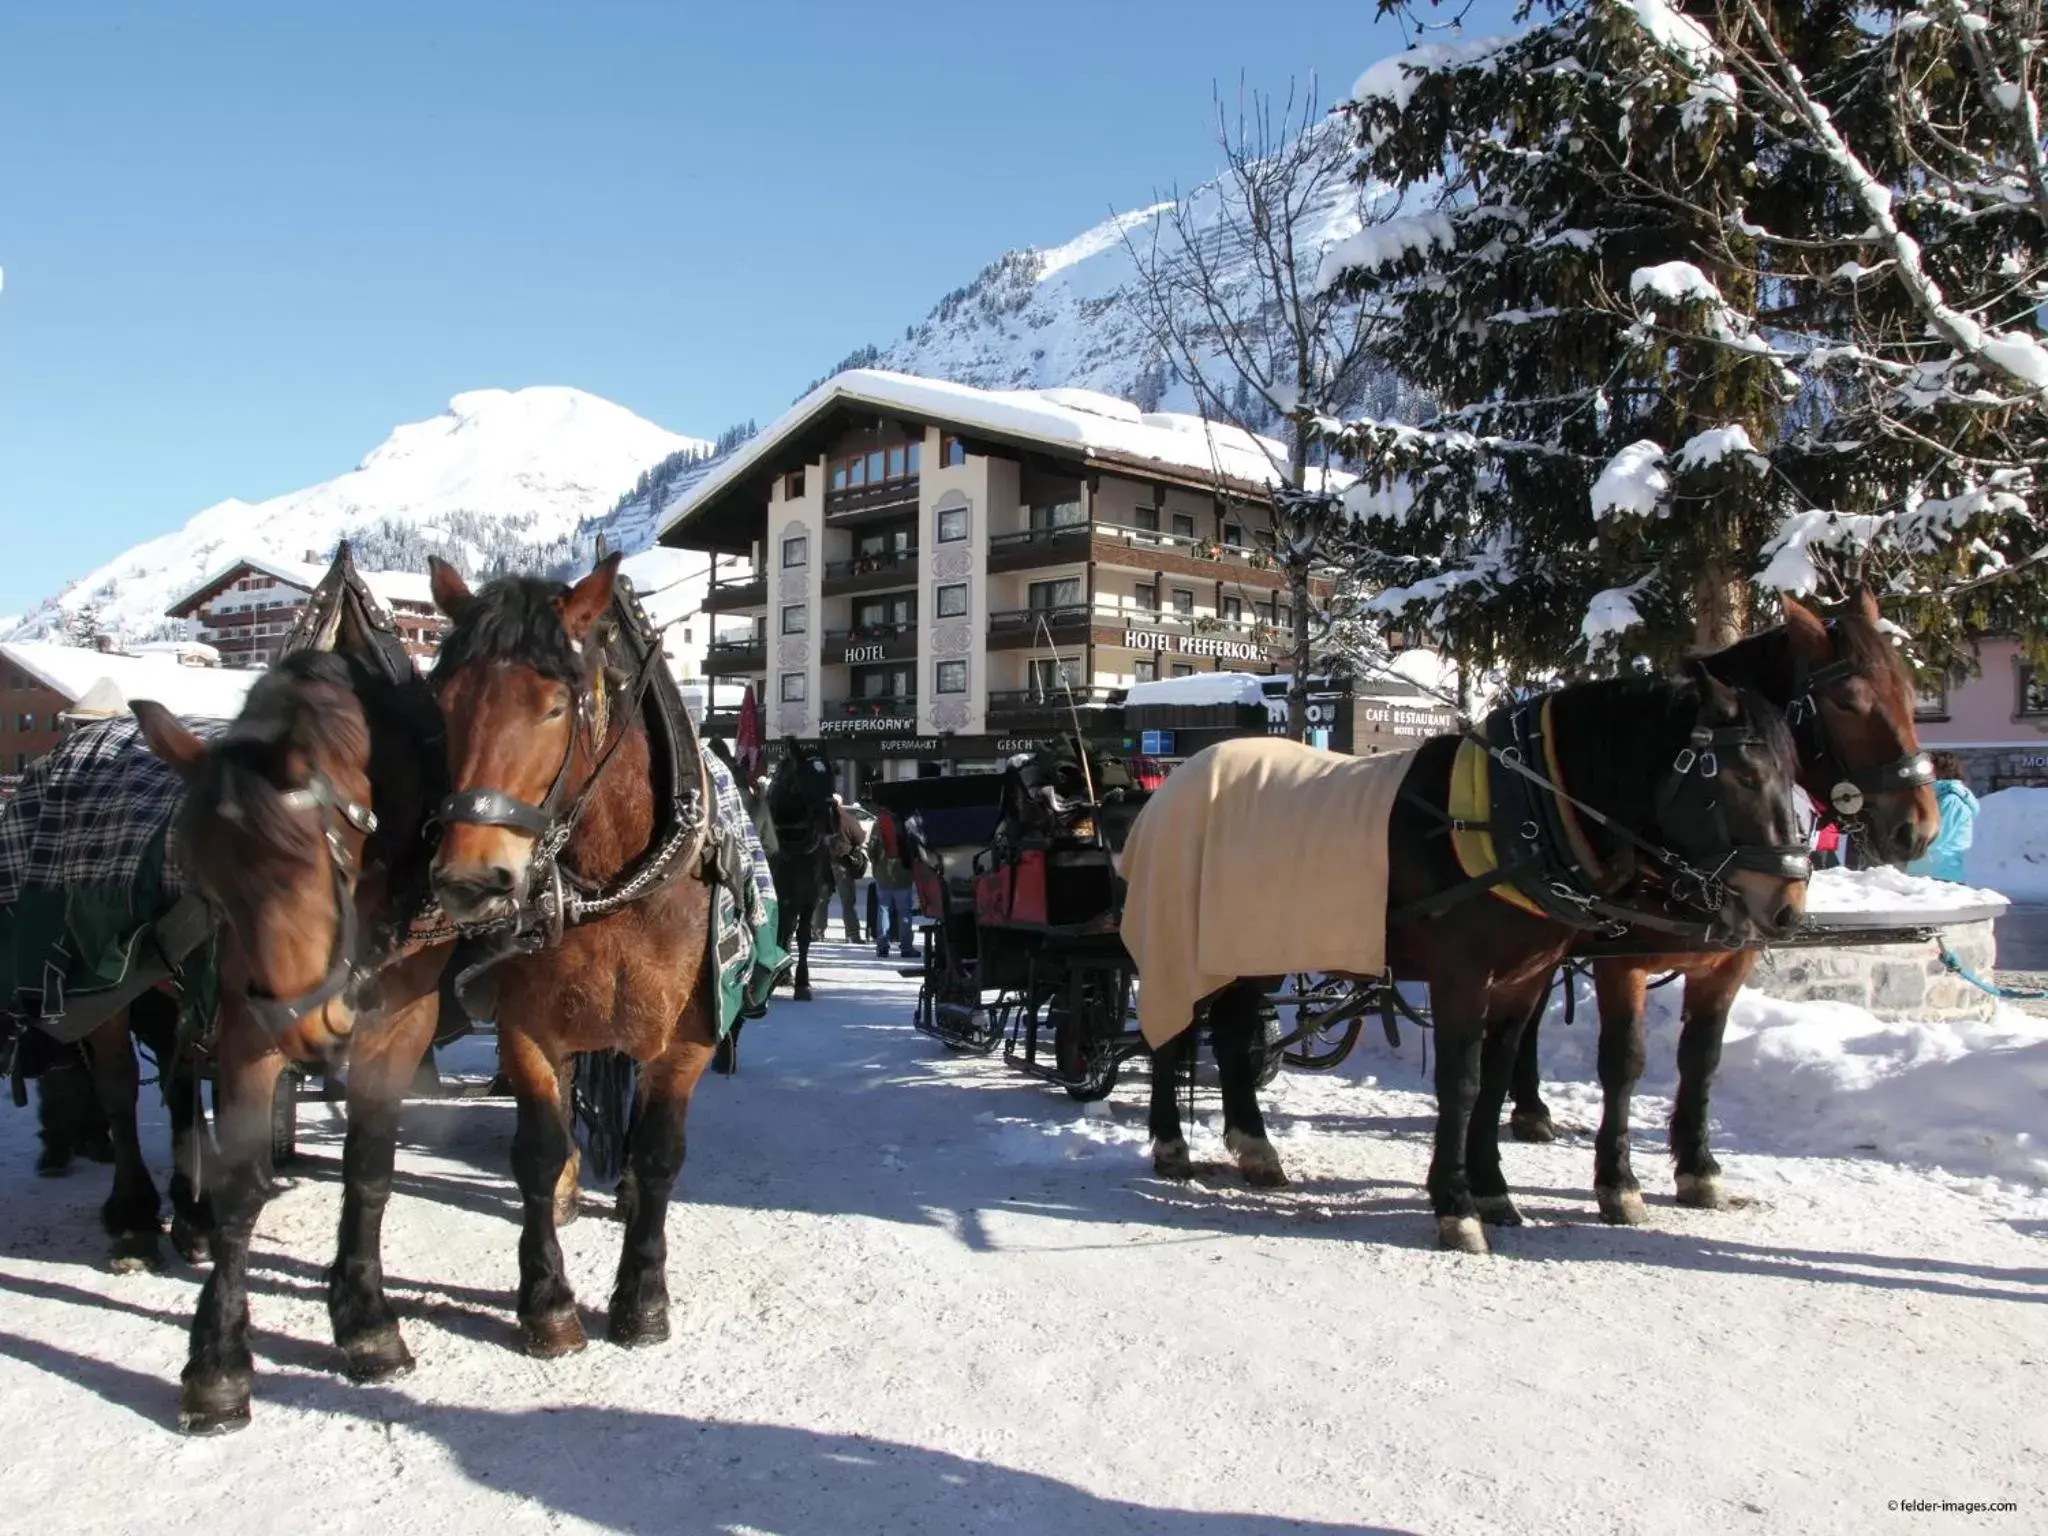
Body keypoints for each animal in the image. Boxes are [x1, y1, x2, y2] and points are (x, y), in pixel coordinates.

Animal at [133, 647, 448, 1433]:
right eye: (208, 883)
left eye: (300, 863)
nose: (306, 1026)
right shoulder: (245, 1034)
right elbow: (242, 1188)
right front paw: (217, 1359)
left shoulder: (400, 1031)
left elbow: (369, 1172)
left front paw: (365, 1318)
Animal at [423, 552, 720, 1359]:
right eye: (445, 702)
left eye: (555, 707)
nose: (471, 879)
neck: (616, 887)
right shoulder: (524, 1027)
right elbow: (538, 1148)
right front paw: (547, 1303)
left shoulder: (687, 1041)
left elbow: (658, 1153)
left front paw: (642, 1298)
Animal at [765, 737, 835, 1003]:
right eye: (807, 781)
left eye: (832, 777)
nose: (830, 822)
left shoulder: (810, 891)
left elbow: (803, 932)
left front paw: (802, 983)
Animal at [1138, 671, 1810, 1253]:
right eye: (1743, 776)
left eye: (1795, 776)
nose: (1786, 907)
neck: (1517, 816)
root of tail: (1171, 784)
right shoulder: (1465, 976)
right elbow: (1461, 1082)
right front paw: (1455, 1206)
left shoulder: (1525, 977)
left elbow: (1496, 1076)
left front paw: (1492, 1190)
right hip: (1181, 942)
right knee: (1169, 1036)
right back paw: (1171, 1144)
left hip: (1254, 947)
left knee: (1230, 1033)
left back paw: (1255, 1148)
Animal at [1507, 593, 1933, 1228]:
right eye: (1848, 701)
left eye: (1909, 694)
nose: (1919, 826)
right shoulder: (1621, 960)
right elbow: (1623, 1061)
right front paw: (1618, 1181)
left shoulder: (1731, 960)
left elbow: (1701, 1058)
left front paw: (1698, 1168)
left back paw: (1529, 1106)